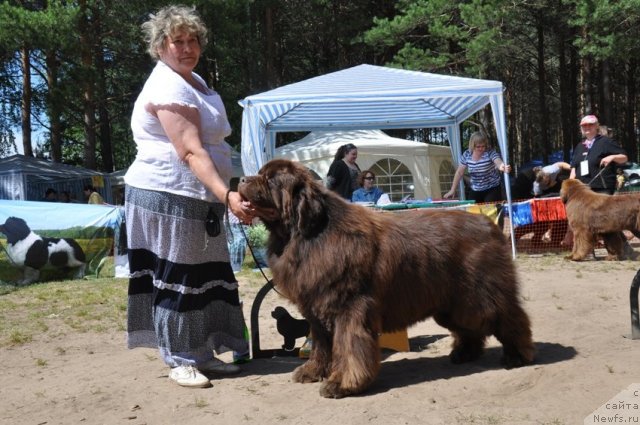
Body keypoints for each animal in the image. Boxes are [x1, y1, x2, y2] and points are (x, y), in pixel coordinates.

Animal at [239, 157, 536, 396]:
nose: (240, 179)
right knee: (470, 327)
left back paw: (517, 355)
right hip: (453, 305)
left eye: (269, 179)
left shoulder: (348, 308)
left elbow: (348, 347)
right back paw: (465, 354)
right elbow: (322, 345)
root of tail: (489, 224)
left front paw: (342, 384)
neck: (309, 235)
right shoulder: (316, 309)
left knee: (509, 318)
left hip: (480, 296)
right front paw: (313, 372)